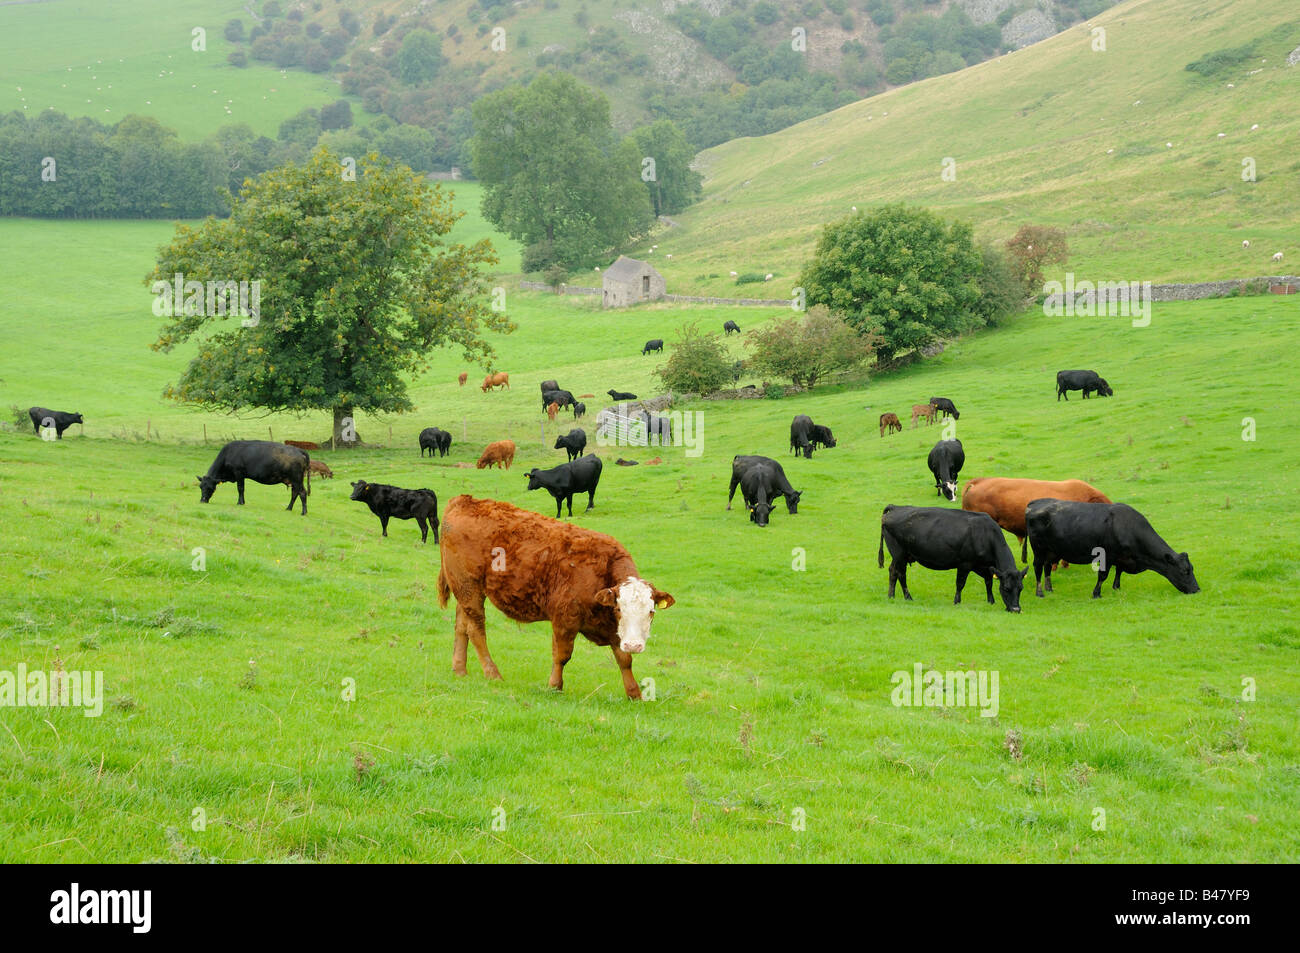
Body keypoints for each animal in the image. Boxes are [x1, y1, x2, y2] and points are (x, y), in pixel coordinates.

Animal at [435, 495, 675, 699]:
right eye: (619, 609)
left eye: (651, 611)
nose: (634, 645)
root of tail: (465, 501)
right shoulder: (564, 620)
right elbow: (562, 655)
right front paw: (554, 686)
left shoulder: (614, 630)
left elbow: (624, 659)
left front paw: (634, 693)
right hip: (470, 588)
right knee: (476, 630)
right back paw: (492, 673)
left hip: (465, 592)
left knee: (461, 626)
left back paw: (460, 669)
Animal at [877, 505, 1027, 612]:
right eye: (1006, 588)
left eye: (1021, 588)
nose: (1016, 609)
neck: (986, 535)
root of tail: (896, 507)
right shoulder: (965, 564)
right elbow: (960, 583)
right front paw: (957, 602)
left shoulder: (984, 566)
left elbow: (988, 581)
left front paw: (991, 601)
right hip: (899, 554)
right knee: (901, 574)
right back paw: (907, 597)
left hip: (899, 556)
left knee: (893, 571)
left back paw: (892, 596)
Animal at [1026, 500, 1199, 599]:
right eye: (1185, 571)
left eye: (1191, 569)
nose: (1197, 589)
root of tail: (1034, 504)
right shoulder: (1107, 556)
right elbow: (1103, 575)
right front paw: (1096, 594)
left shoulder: (1122, 557)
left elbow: (1119, 571)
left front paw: (1117, 587)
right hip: (1039, 550)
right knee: (1038, 568)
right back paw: (1040, 593)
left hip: (1052, 551)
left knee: (1047, 567)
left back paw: (1049, 589)